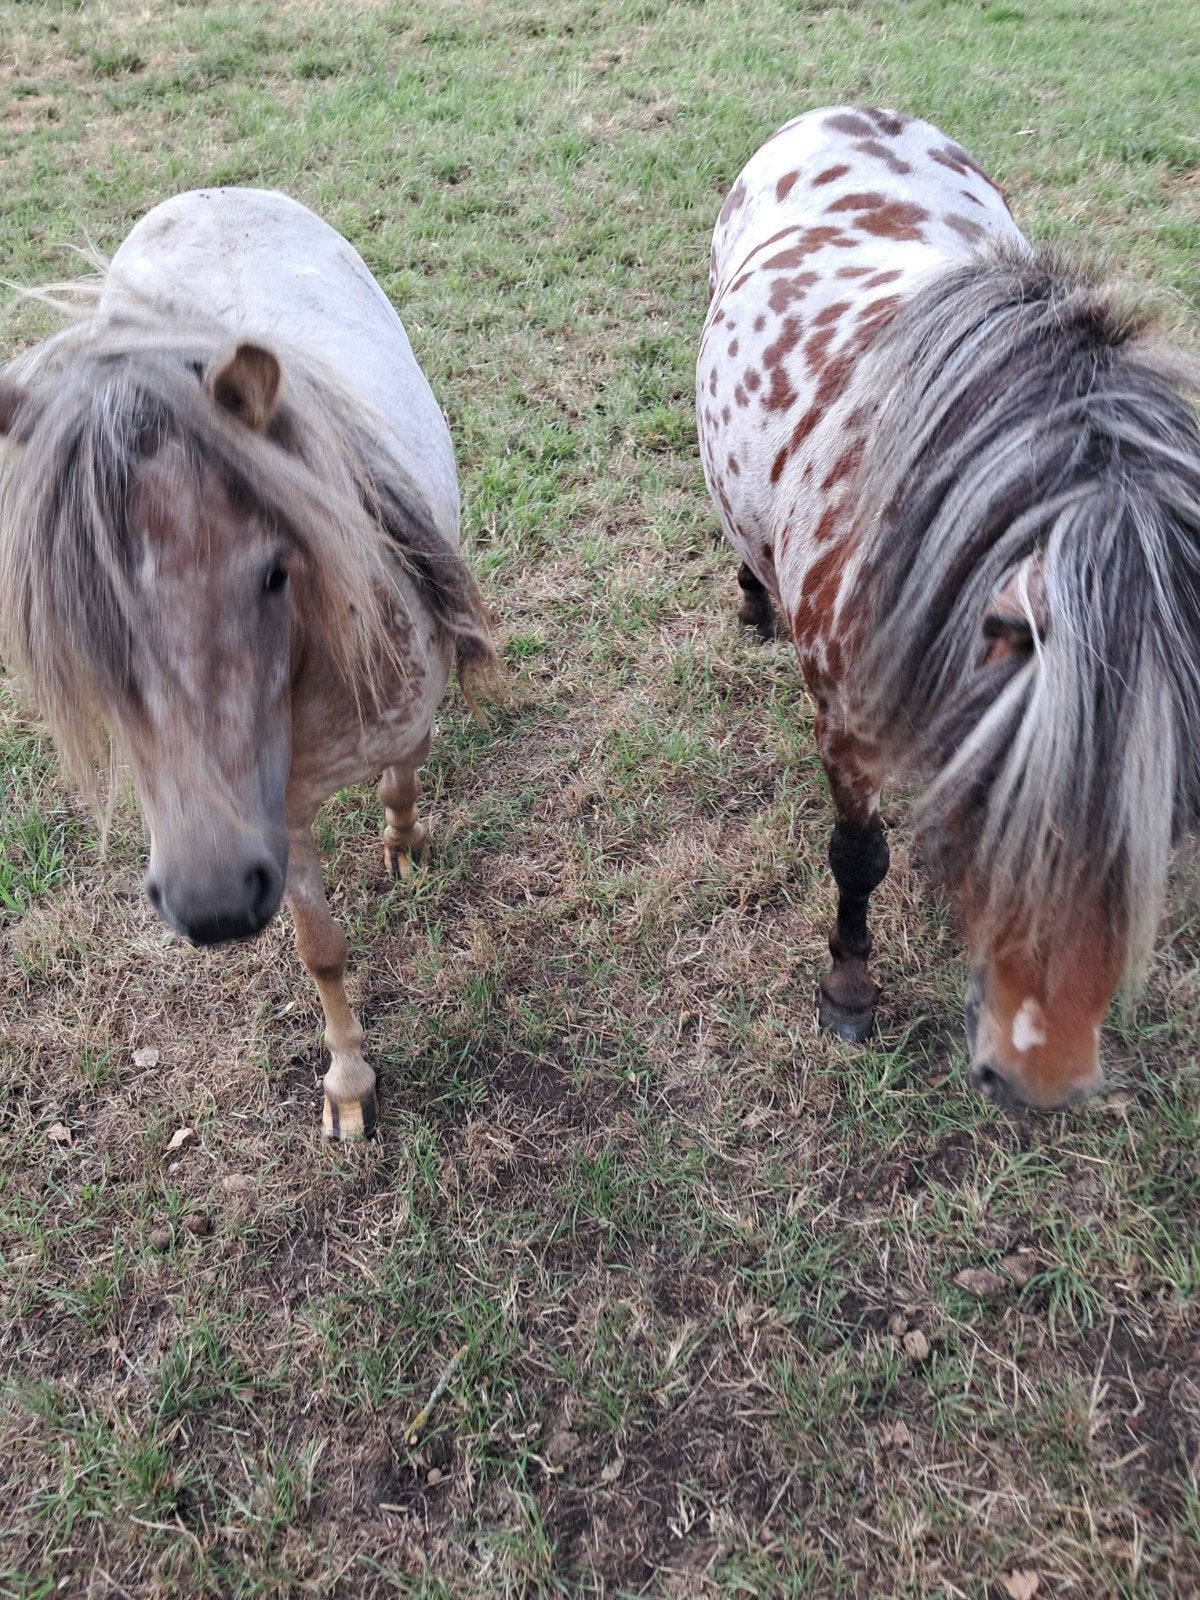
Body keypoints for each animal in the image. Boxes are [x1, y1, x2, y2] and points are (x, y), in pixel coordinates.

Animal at [0, 187, 493, 1139]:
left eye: (274, 570)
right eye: (82, 610)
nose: (213, 901)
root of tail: (210, 194)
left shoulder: (407, 718)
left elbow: (403, 779)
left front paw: (404, 843)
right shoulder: (279, 823)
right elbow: (321, 950)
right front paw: (348, 1083)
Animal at [697, 107, 1200, 1110]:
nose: (1042, 1078)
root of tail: (851, 109)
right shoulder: (848, 726)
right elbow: (859, 857)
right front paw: (849, 988)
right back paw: (752, 601)